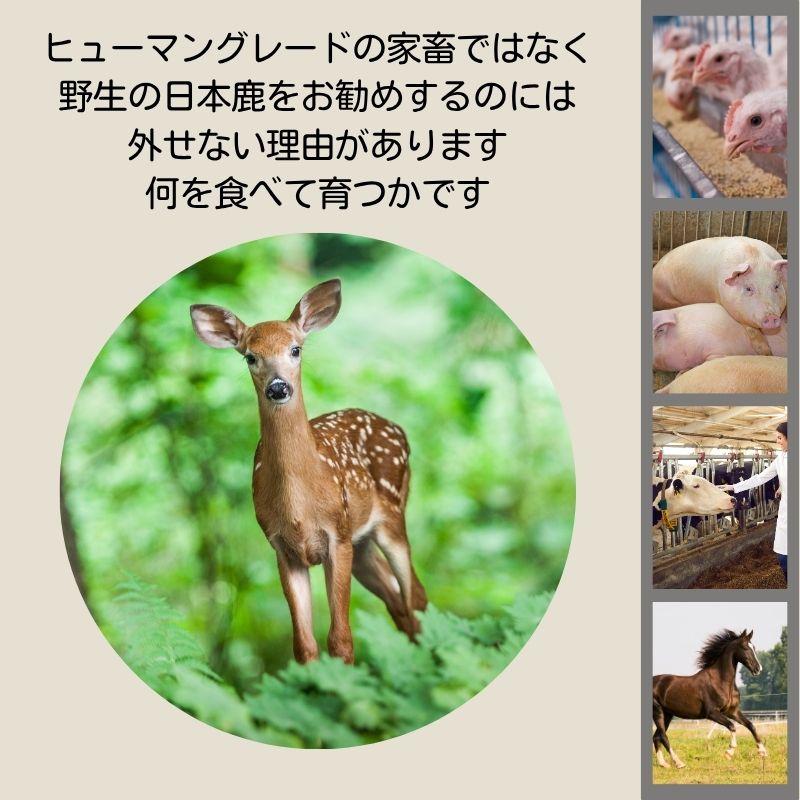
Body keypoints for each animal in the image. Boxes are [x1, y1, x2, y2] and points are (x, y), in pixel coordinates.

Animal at [190, 279, 428, 664]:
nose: (278, 387)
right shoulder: (282, 548)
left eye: (295, 349)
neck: (300, 506)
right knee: (398, 602)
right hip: (362, 544)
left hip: (391, 515)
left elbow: (341, 639)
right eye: (250, 356)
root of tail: (398, 429)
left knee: (416, 596)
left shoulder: (337, 536)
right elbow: (304, 645)